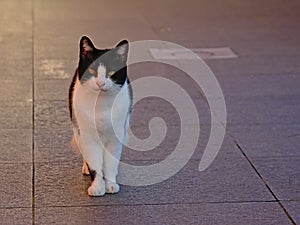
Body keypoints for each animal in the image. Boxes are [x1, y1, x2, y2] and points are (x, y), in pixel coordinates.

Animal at [69, 36, 133, 196]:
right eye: (92, 70)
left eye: (111, 72)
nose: (100, 83)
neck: (100, 106)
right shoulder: (87, 135)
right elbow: (94, 161)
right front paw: (97, 186)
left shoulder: (116, 135)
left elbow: (110, 162)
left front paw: (111, 184)